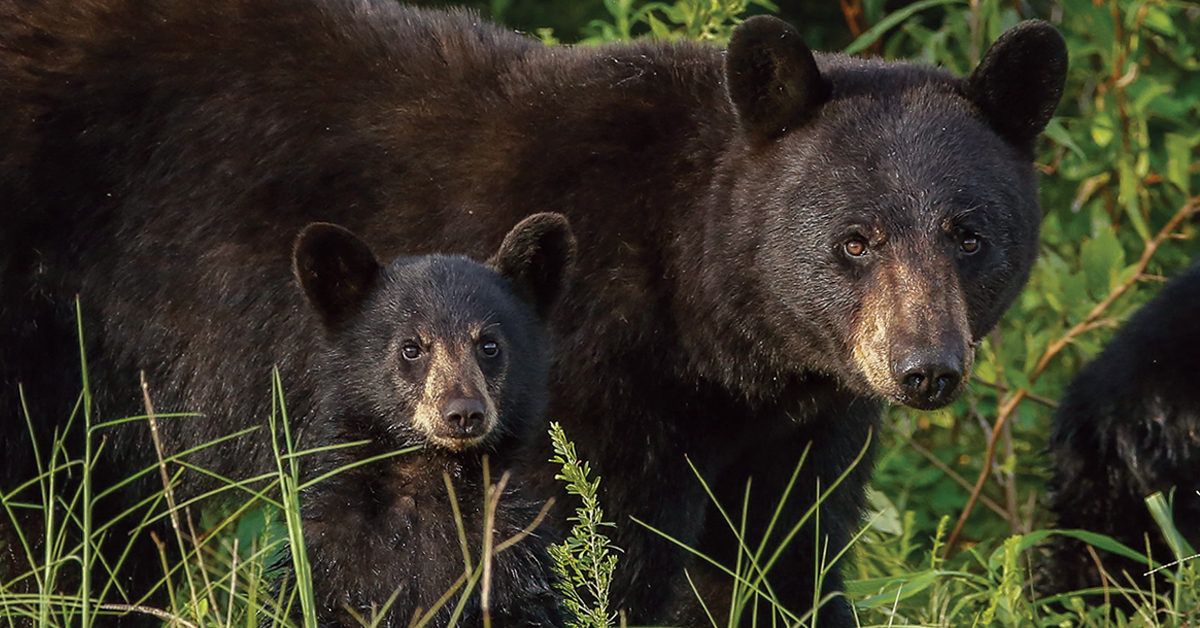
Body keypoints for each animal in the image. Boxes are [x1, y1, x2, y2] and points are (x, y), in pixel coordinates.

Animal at [2, 2, 1070, 624]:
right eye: (856, 239)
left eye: (968, 233)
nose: (924, 367)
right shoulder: (579, 386)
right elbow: (577, 557)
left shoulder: (796, 423)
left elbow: (784, 560)